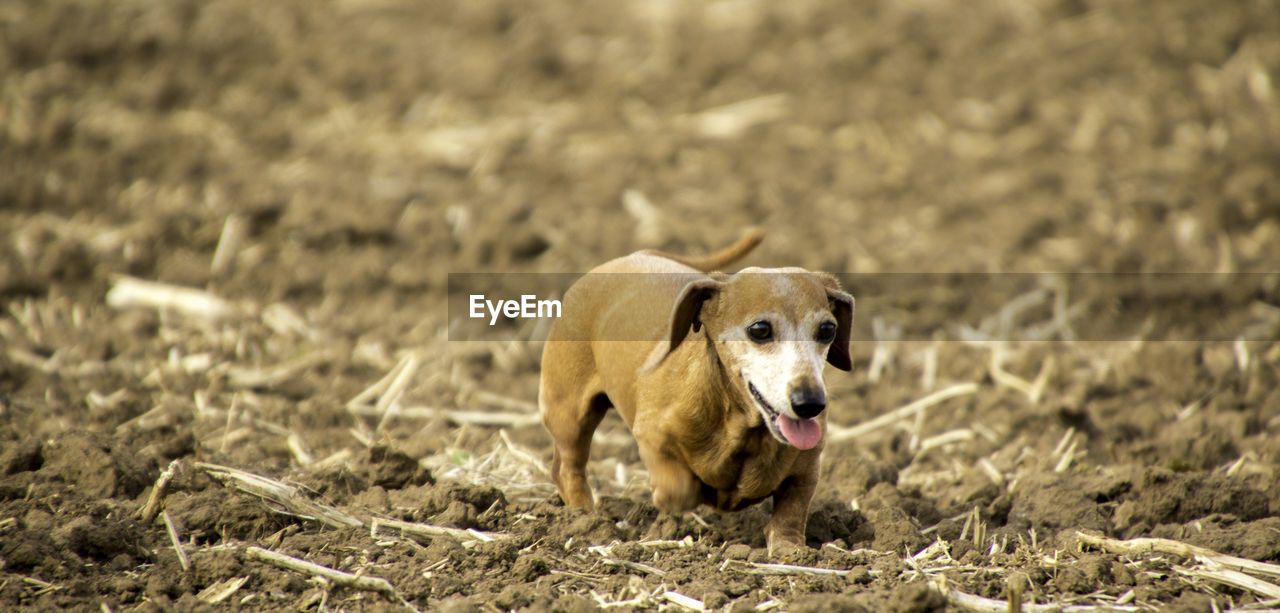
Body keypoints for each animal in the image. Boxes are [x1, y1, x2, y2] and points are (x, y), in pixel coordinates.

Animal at [535, 231, 855, 557]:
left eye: (827, 330)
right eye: (760, 330)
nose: (810, 403)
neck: (737, 422)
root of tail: (631, 257)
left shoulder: (806, 470)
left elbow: (791, 513)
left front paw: (789, 551)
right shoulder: (651, 435)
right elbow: (679, 491)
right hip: (569, 414)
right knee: (568, 469)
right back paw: (584, 519)